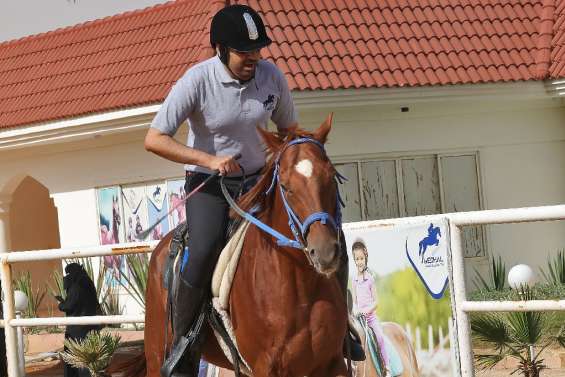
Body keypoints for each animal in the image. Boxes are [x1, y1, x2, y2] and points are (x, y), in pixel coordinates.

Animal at [119, 115, 348, 376]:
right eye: (286, 186)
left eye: (331, 177)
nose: (325, 252)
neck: (300, 290)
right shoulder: (266, 367)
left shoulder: (334, 363)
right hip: (158, 355)